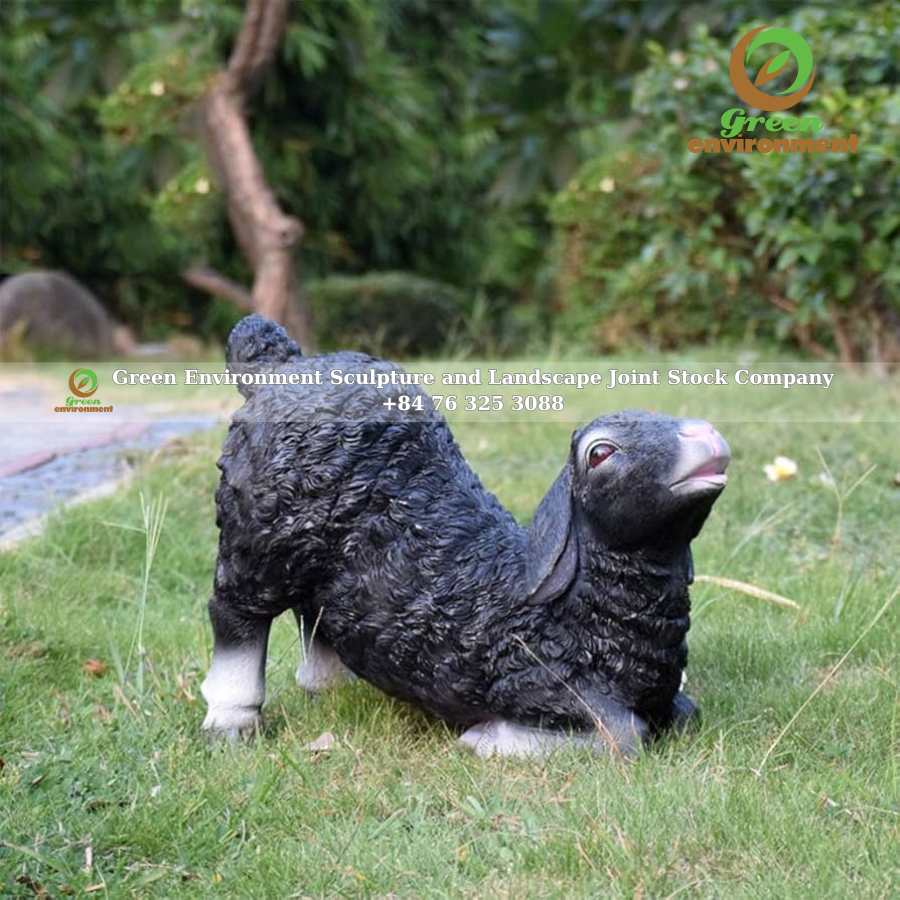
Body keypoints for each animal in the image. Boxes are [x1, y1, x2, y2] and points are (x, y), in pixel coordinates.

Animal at [201, 315, 730, 757]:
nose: (708, 437)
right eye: (600, 453)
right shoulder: (535, 681)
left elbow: (686, 712)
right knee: (237, 613)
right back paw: (233, 721)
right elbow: (625, 734)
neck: (578, 610)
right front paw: (489, 740)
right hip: (261, 533)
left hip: (312, 547)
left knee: (313, 610)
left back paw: (332, 689)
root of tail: (282, 366)